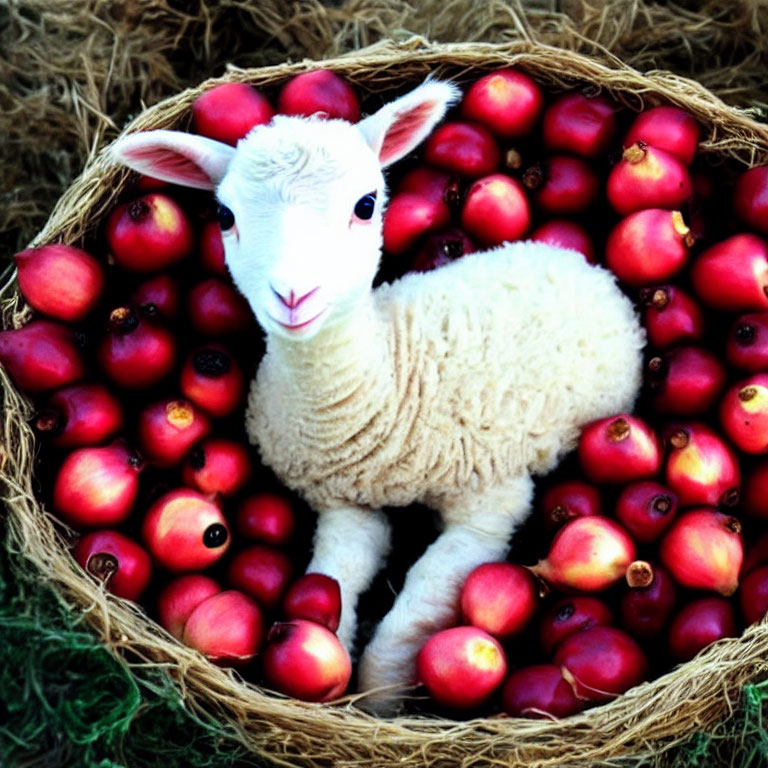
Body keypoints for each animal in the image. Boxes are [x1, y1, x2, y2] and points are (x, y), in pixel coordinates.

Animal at [112, 76, 640, 708]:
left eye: (366, 205)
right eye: (223, 214)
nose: (294, 296)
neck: (378, 385)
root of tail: (572, 259)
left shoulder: (490, 507)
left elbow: (416, 610)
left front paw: (382, 700)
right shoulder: (342, 502)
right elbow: (334, 578)